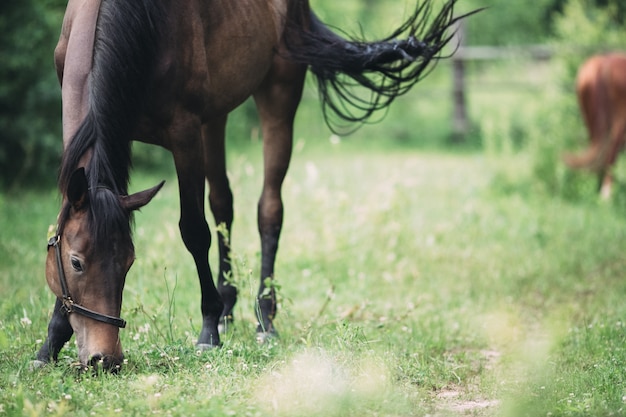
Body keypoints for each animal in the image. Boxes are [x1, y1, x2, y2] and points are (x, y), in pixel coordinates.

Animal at [36, 0, 476, 370]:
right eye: (76, 262)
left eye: (129, 262)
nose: (104, 359)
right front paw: (51, 342)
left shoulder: (183, 133)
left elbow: (193, 231)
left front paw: (208, 330)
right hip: (214, 119)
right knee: (223, 205)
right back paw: (229, 309)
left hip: (276, 96)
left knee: (269, 209)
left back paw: (264, 318)